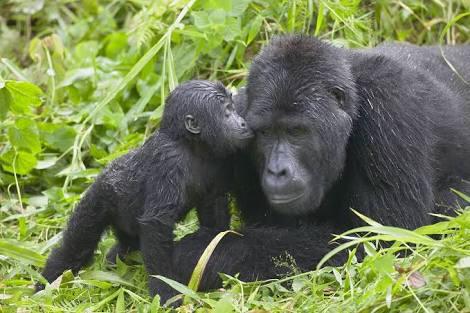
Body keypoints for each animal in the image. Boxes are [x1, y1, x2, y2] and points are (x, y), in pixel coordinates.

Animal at [36, 80, 253, 302]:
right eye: (227, 112)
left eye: (234, 108)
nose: (243, 123)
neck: (190, 144)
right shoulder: (169, 161)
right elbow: (156, 224)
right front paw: (166, 290)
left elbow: (213, 210)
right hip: (99, 197)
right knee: (77, 244)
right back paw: (48, 283)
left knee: (126, 244)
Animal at [172, 35, 470, 288]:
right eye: (265, 133)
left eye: (295, 132)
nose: (277, 171)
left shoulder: (391, 103)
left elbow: (385, 239)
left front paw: (203, 253)